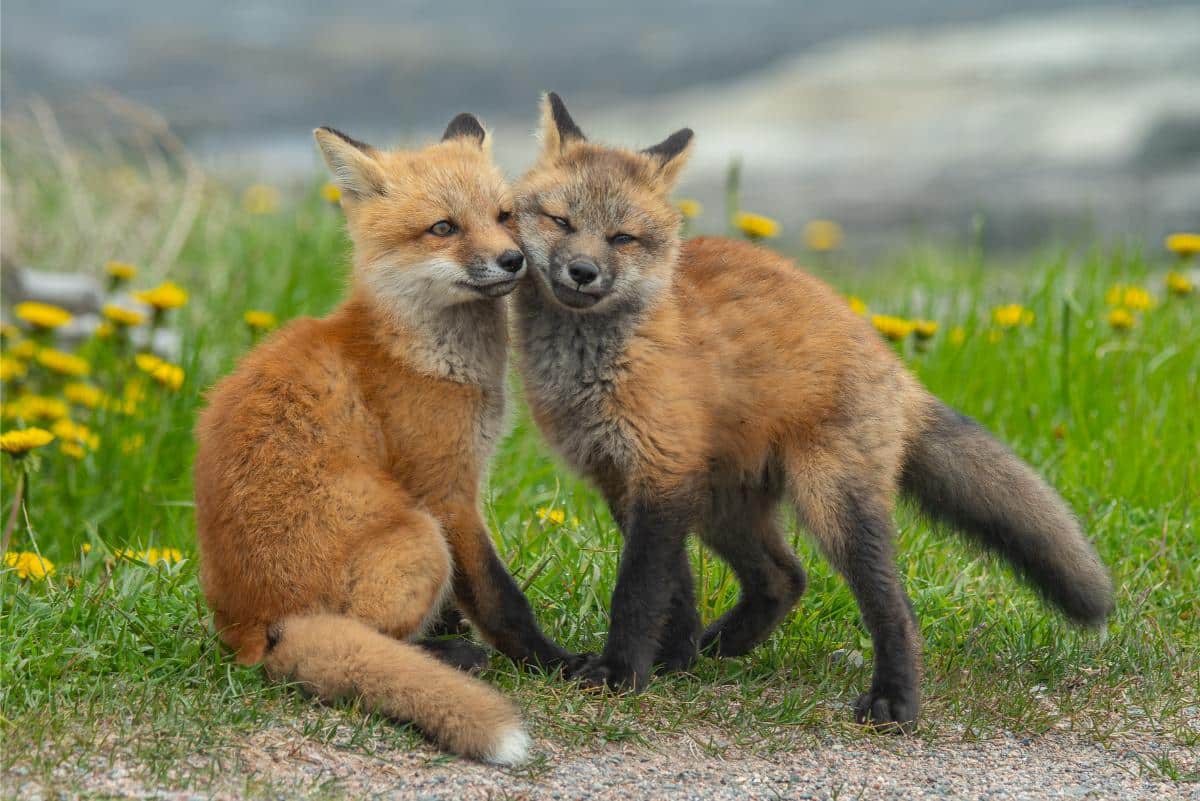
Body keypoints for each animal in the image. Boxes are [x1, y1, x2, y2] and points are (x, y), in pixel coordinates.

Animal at [194, 114, 577, 764]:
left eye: (503, 215)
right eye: (443, 228)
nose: (513, 260)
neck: (417, 352)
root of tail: (253, 632)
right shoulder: (446, 492)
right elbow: (500, 598)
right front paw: (555, 664)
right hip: (419, 536)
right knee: (372, 638)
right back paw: (449, 657)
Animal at [509, 93, 1114, 730]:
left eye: (622, 237)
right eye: (560, 221)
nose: (582, 272)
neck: (596, 366)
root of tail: (895, 366)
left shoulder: (662, 471)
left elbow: (639, 590)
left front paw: (622, 672)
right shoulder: (622, 478)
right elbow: (676, 589)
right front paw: (671, 656)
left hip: (832, 504)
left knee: (894, 608)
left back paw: (895, 700)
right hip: (724, 507)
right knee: (784, 578)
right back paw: (712, 650)